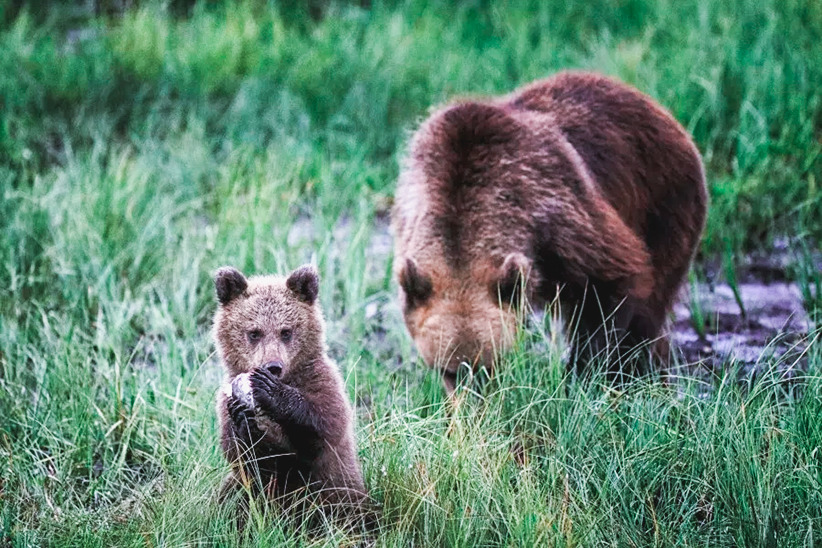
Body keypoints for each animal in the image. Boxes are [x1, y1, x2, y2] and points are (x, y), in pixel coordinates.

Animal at [392, 73, 708, 392]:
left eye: (490, 367)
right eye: (448, 371)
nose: (475, 401)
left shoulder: (558, 215)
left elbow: (612, 286)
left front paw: (587, 374)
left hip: (665, 205)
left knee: (650, 307)